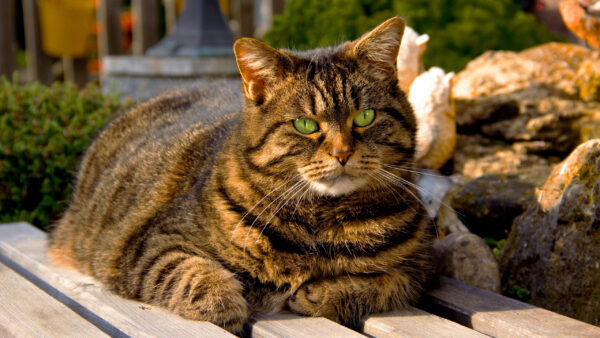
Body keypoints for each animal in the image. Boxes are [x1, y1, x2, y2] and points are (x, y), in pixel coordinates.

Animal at [47, 17, 432, 334]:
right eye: (305, 124)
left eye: (365, 117)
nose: (342, 153)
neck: (321, 222)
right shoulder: (149, 243)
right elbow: (192, 272)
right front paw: (226, 304)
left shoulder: (417, 271)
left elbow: (378, 284)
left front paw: (318, 294)